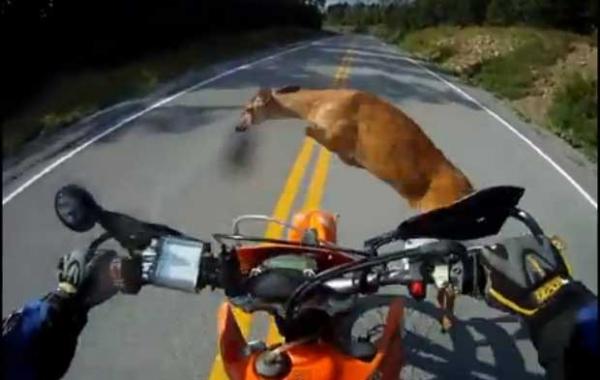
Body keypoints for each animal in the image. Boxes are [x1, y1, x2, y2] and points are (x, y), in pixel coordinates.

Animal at [236, 85, 474, 214]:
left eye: (248, 109)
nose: (238, 127)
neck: (316, 105)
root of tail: (468, 189)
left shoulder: (337, 130)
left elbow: (309, 131)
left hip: (436, 204)